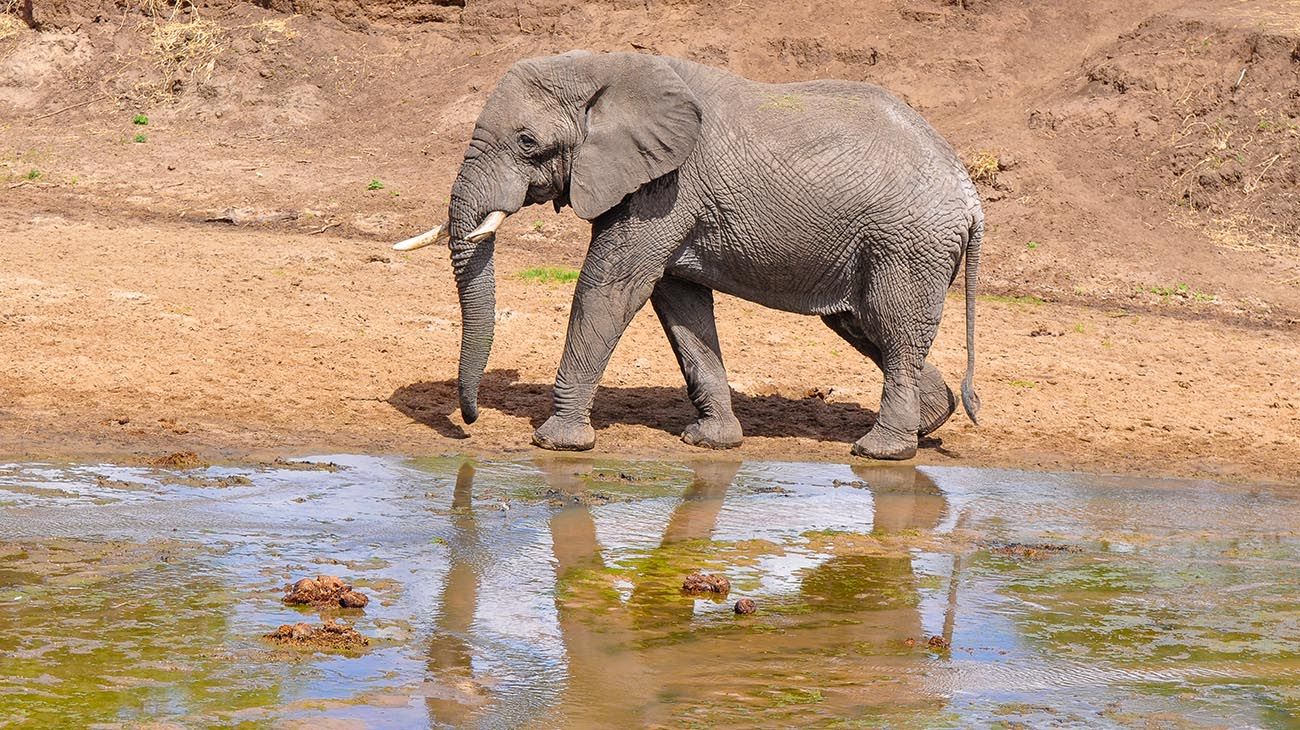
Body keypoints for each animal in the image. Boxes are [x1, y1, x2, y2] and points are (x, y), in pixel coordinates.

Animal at [397, 51, 982, 457]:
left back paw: (881, 451)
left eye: (526, 141)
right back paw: (930, 421)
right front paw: (710, 442)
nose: (471, 422)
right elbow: (679, 303)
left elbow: (610, 289)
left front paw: (555, 442)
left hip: (907, 243)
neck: (603, 66)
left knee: (893, 328)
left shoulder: (666, 187)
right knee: (866, 325)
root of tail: (969, 191)